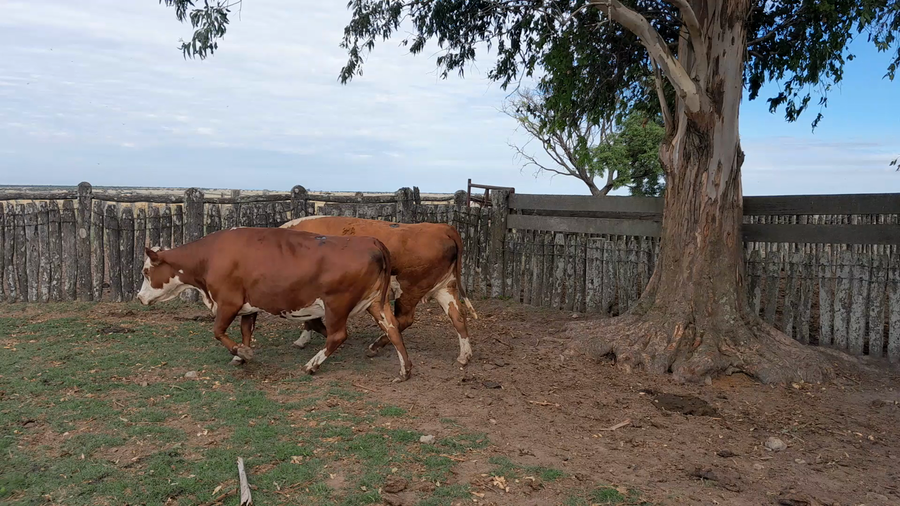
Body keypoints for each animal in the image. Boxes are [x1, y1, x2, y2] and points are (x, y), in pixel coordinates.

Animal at [135, 227, 412, 382]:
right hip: (376, 302)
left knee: (338, 335)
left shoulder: (228, 302)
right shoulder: (249, 306)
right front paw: (241, 355)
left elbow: (218, 331)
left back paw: (312, 365)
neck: (210, 257)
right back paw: (404, 370)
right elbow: (246, 331)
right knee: (392, 329)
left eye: (146, 272)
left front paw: (241, 352)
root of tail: (369, 241)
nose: (139, 297)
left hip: (337, 303)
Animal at [280, 216, 477, 365]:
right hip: (445, 287)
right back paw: (464, 356)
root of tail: (443, 228)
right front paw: (303, 339)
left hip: (409, 289)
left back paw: (375, 346)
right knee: (458, 316)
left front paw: (304, 339)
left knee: (402, 320)